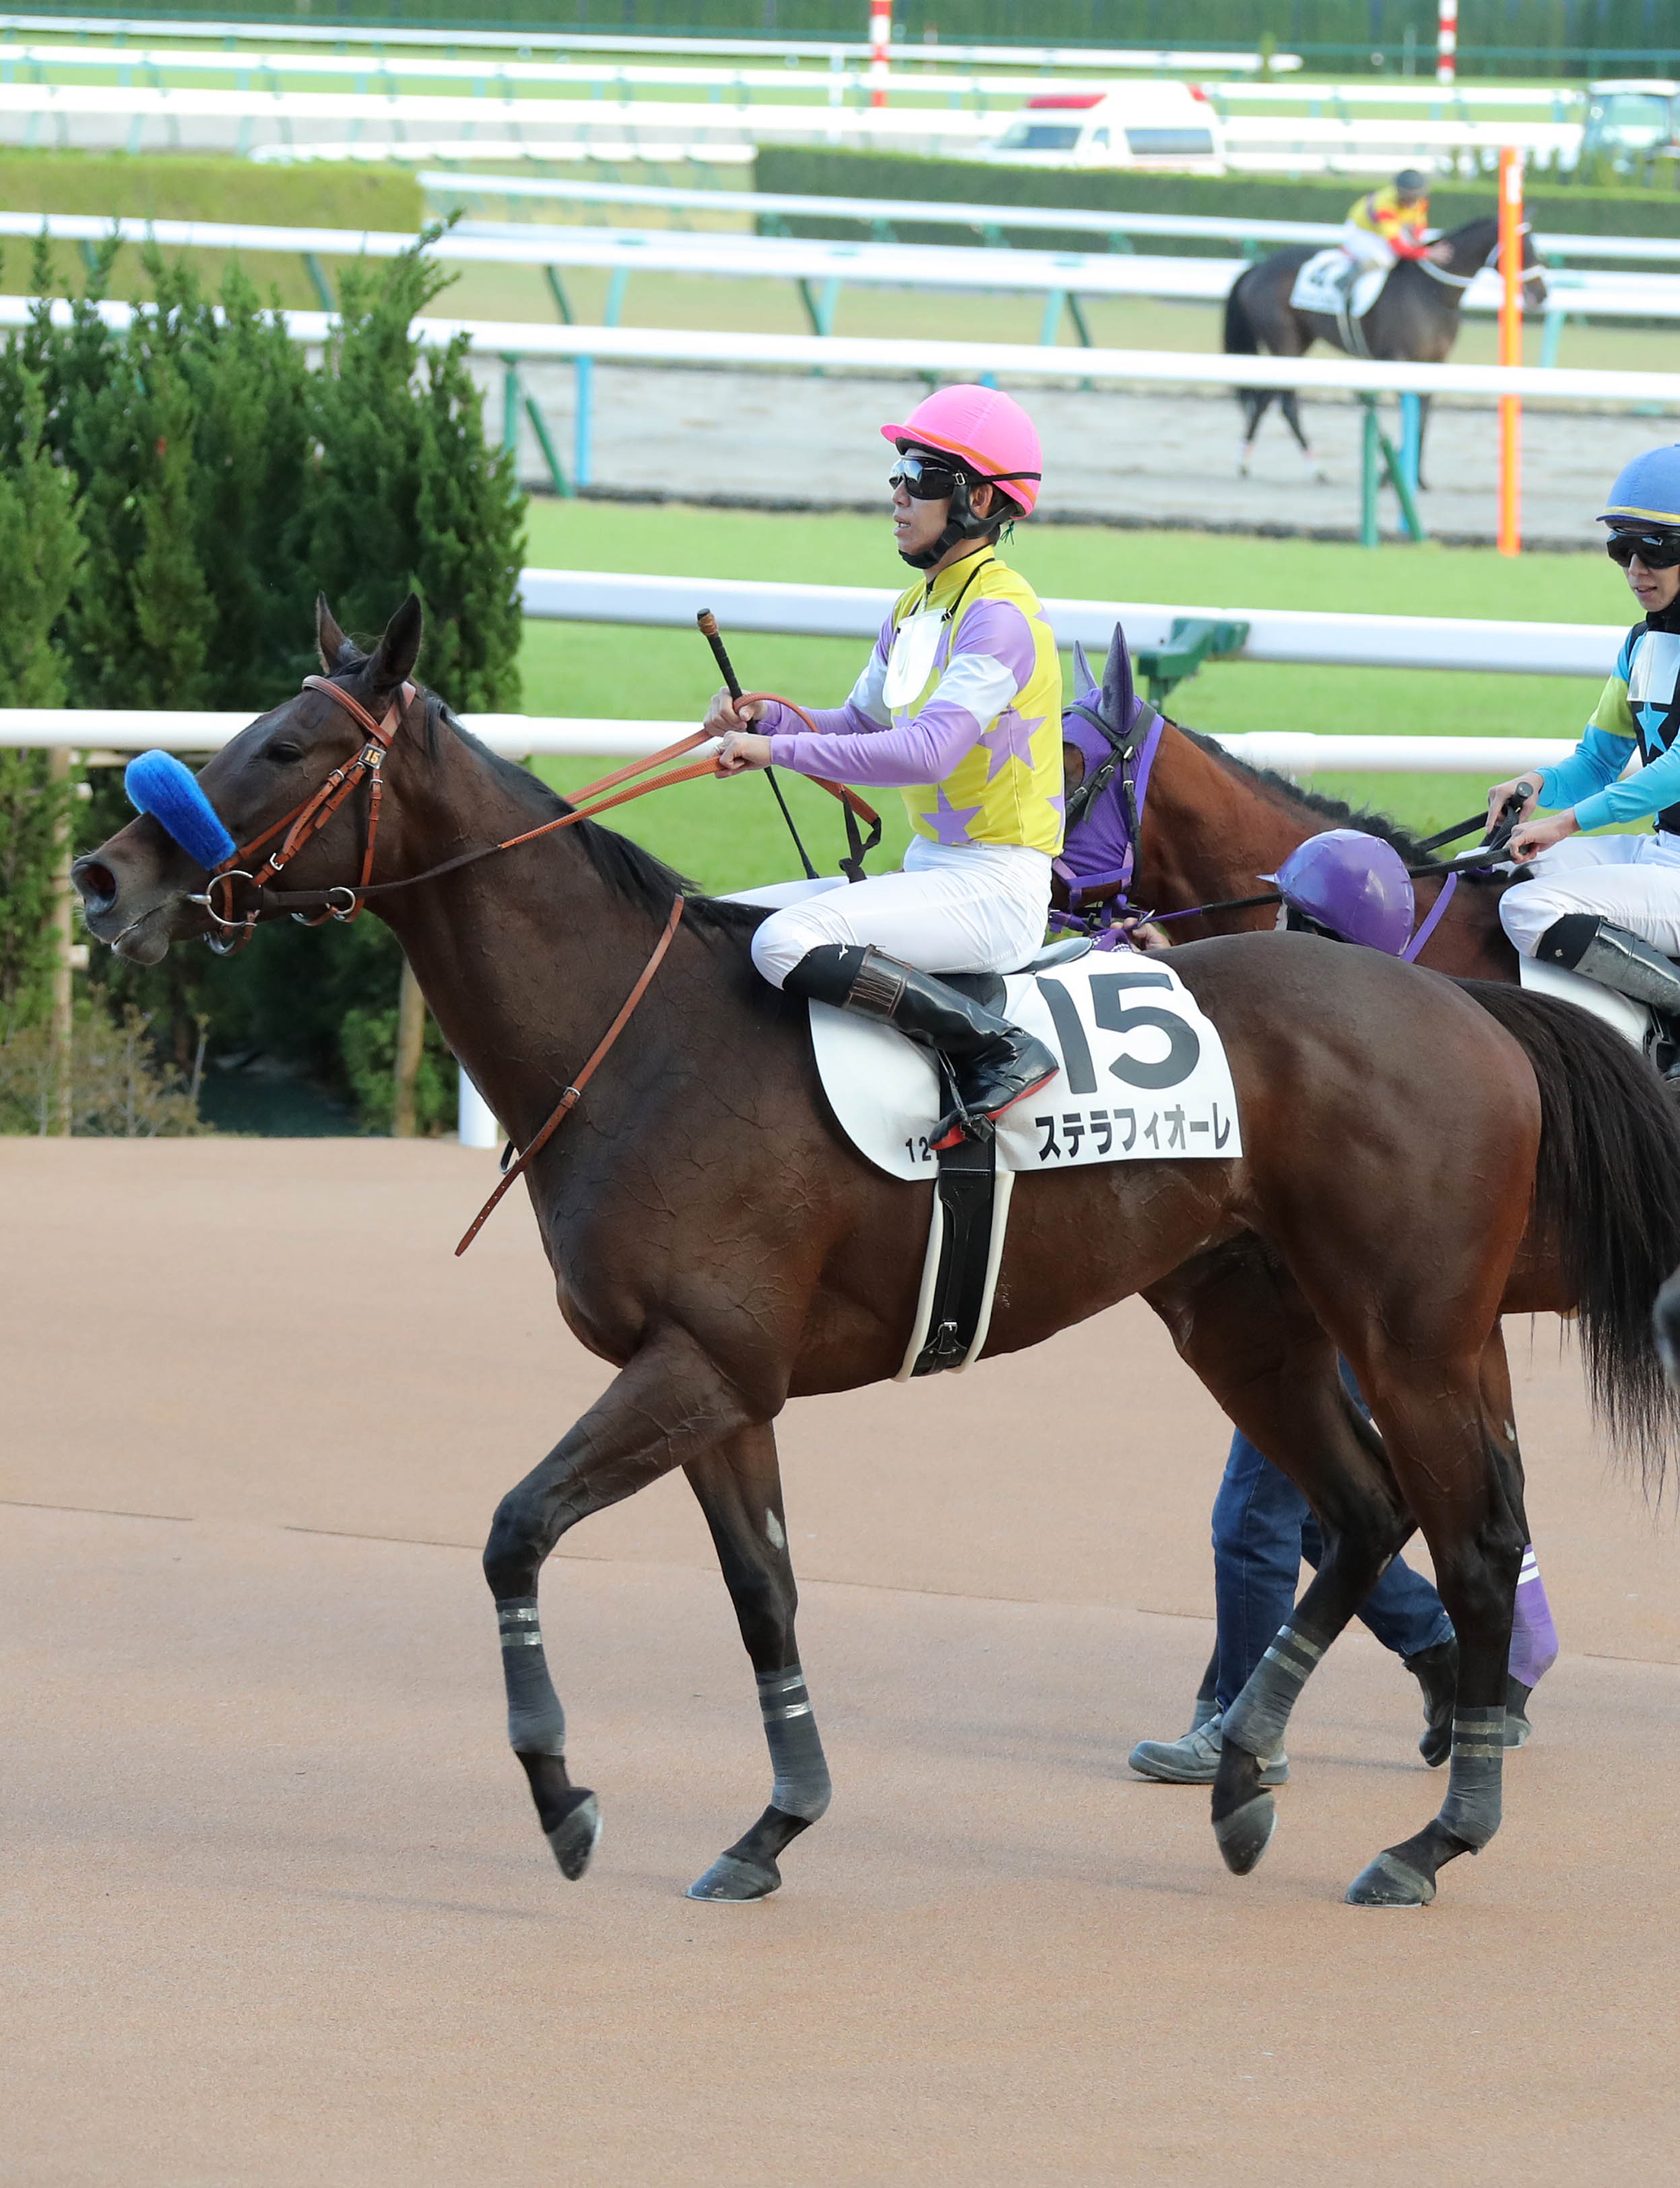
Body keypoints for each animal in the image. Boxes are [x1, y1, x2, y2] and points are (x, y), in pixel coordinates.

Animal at [73, 592, 1680, 1912]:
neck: (636, 1036)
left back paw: (1433, 1833)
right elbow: (761, 1596)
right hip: (1244, 1316)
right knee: (1358, 1511)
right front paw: (773, 1823)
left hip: (1415, 1329)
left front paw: (561, 1794)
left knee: (1472, 1537)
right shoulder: (722, 1386)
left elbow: (514, 1531)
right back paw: (1241, 1780)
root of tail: (1465, 1010)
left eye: (286, 747)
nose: (103, 874)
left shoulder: (693, 1365)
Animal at [1223, 215, 1548, 480]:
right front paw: (1390, 476)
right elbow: (1411, 417)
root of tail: (1257, 268)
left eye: (1534, 245)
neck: (1431, 293)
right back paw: (1306, 467)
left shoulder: (1434, 363)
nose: (1541, 295)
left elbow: (1423, 418)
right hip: (1284, 342)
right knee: (1282, 403)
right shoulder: (1397, 359)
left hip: (1298, 343)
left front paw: (1417, 479)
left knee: (1267, 400)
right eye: (1522, 248)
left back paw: (1251, 462)